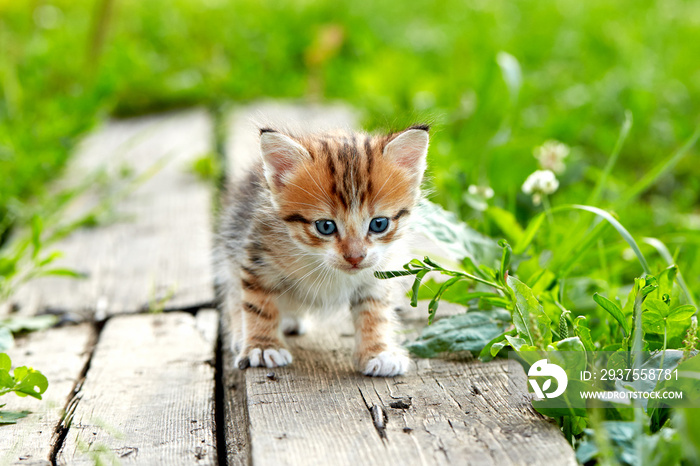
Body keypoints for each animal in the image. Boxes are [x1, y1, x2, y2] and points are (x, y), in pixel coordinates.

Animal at [219, 123, 430, 374]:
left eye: (379, 224)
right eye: (325, 226)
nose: (355, 257)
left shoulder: (377, 272)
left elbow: (375, 310)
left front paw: (378, 351)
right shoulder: (258, 256)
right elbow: (257, 304)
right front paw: (262, 346)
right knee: (234, 294)